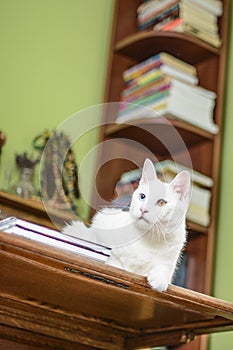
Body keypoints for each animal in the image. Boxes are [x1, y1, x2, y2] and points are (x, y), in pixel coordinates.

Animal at [62, 159, 191, 292]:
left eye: (161, 202)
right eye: (142, 196)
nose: (143, 209)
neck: (148, 238)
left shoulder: (170, 261)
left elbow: (164, 269)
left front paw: (159, 280)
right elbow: (115, 262)